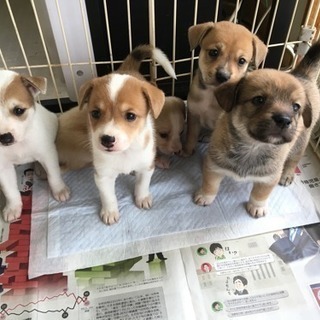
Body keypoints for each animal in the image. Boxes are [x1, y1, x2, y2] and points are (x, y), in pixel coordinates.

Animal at [0, 69, 70, 222]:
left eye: (18, 110)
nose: (5, 138)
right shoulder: (3, 167)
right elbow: (9, 190)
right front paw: (13, 207)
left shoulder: (47, 154)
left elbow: (53, 174)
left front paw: (59, 190)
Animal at [57, 44, 176, 225]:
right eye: (95, 113)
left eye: (131, 116)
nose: (107, 140)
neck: (124, 153)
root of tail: (127, 68)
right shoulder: (103, 176)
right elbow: (108, 196)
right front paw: (110, 212)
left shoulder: (146, 167)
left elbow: (142, 185)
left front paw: (142, 198)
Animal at [182, 20, 268, 156]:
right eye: (213, 52)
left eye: (241, 61)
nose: (223, 76)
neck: (212, 94)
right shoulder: (193, 115)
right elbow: (191, 135)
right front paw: (186, 151)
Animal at [192, 42, 320, 218]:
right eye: (259, 100)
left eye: (296, 107)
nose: (284, 120)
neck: (253, 145)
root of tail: (303, 75)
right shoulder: (214, 166)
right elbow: (210, 184)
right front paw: (205, 197)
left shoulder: (269, 177)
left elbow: (260, 194)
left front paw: (257, 207)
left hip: (300, 142)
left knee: (293, 160)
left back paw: (287, 174)